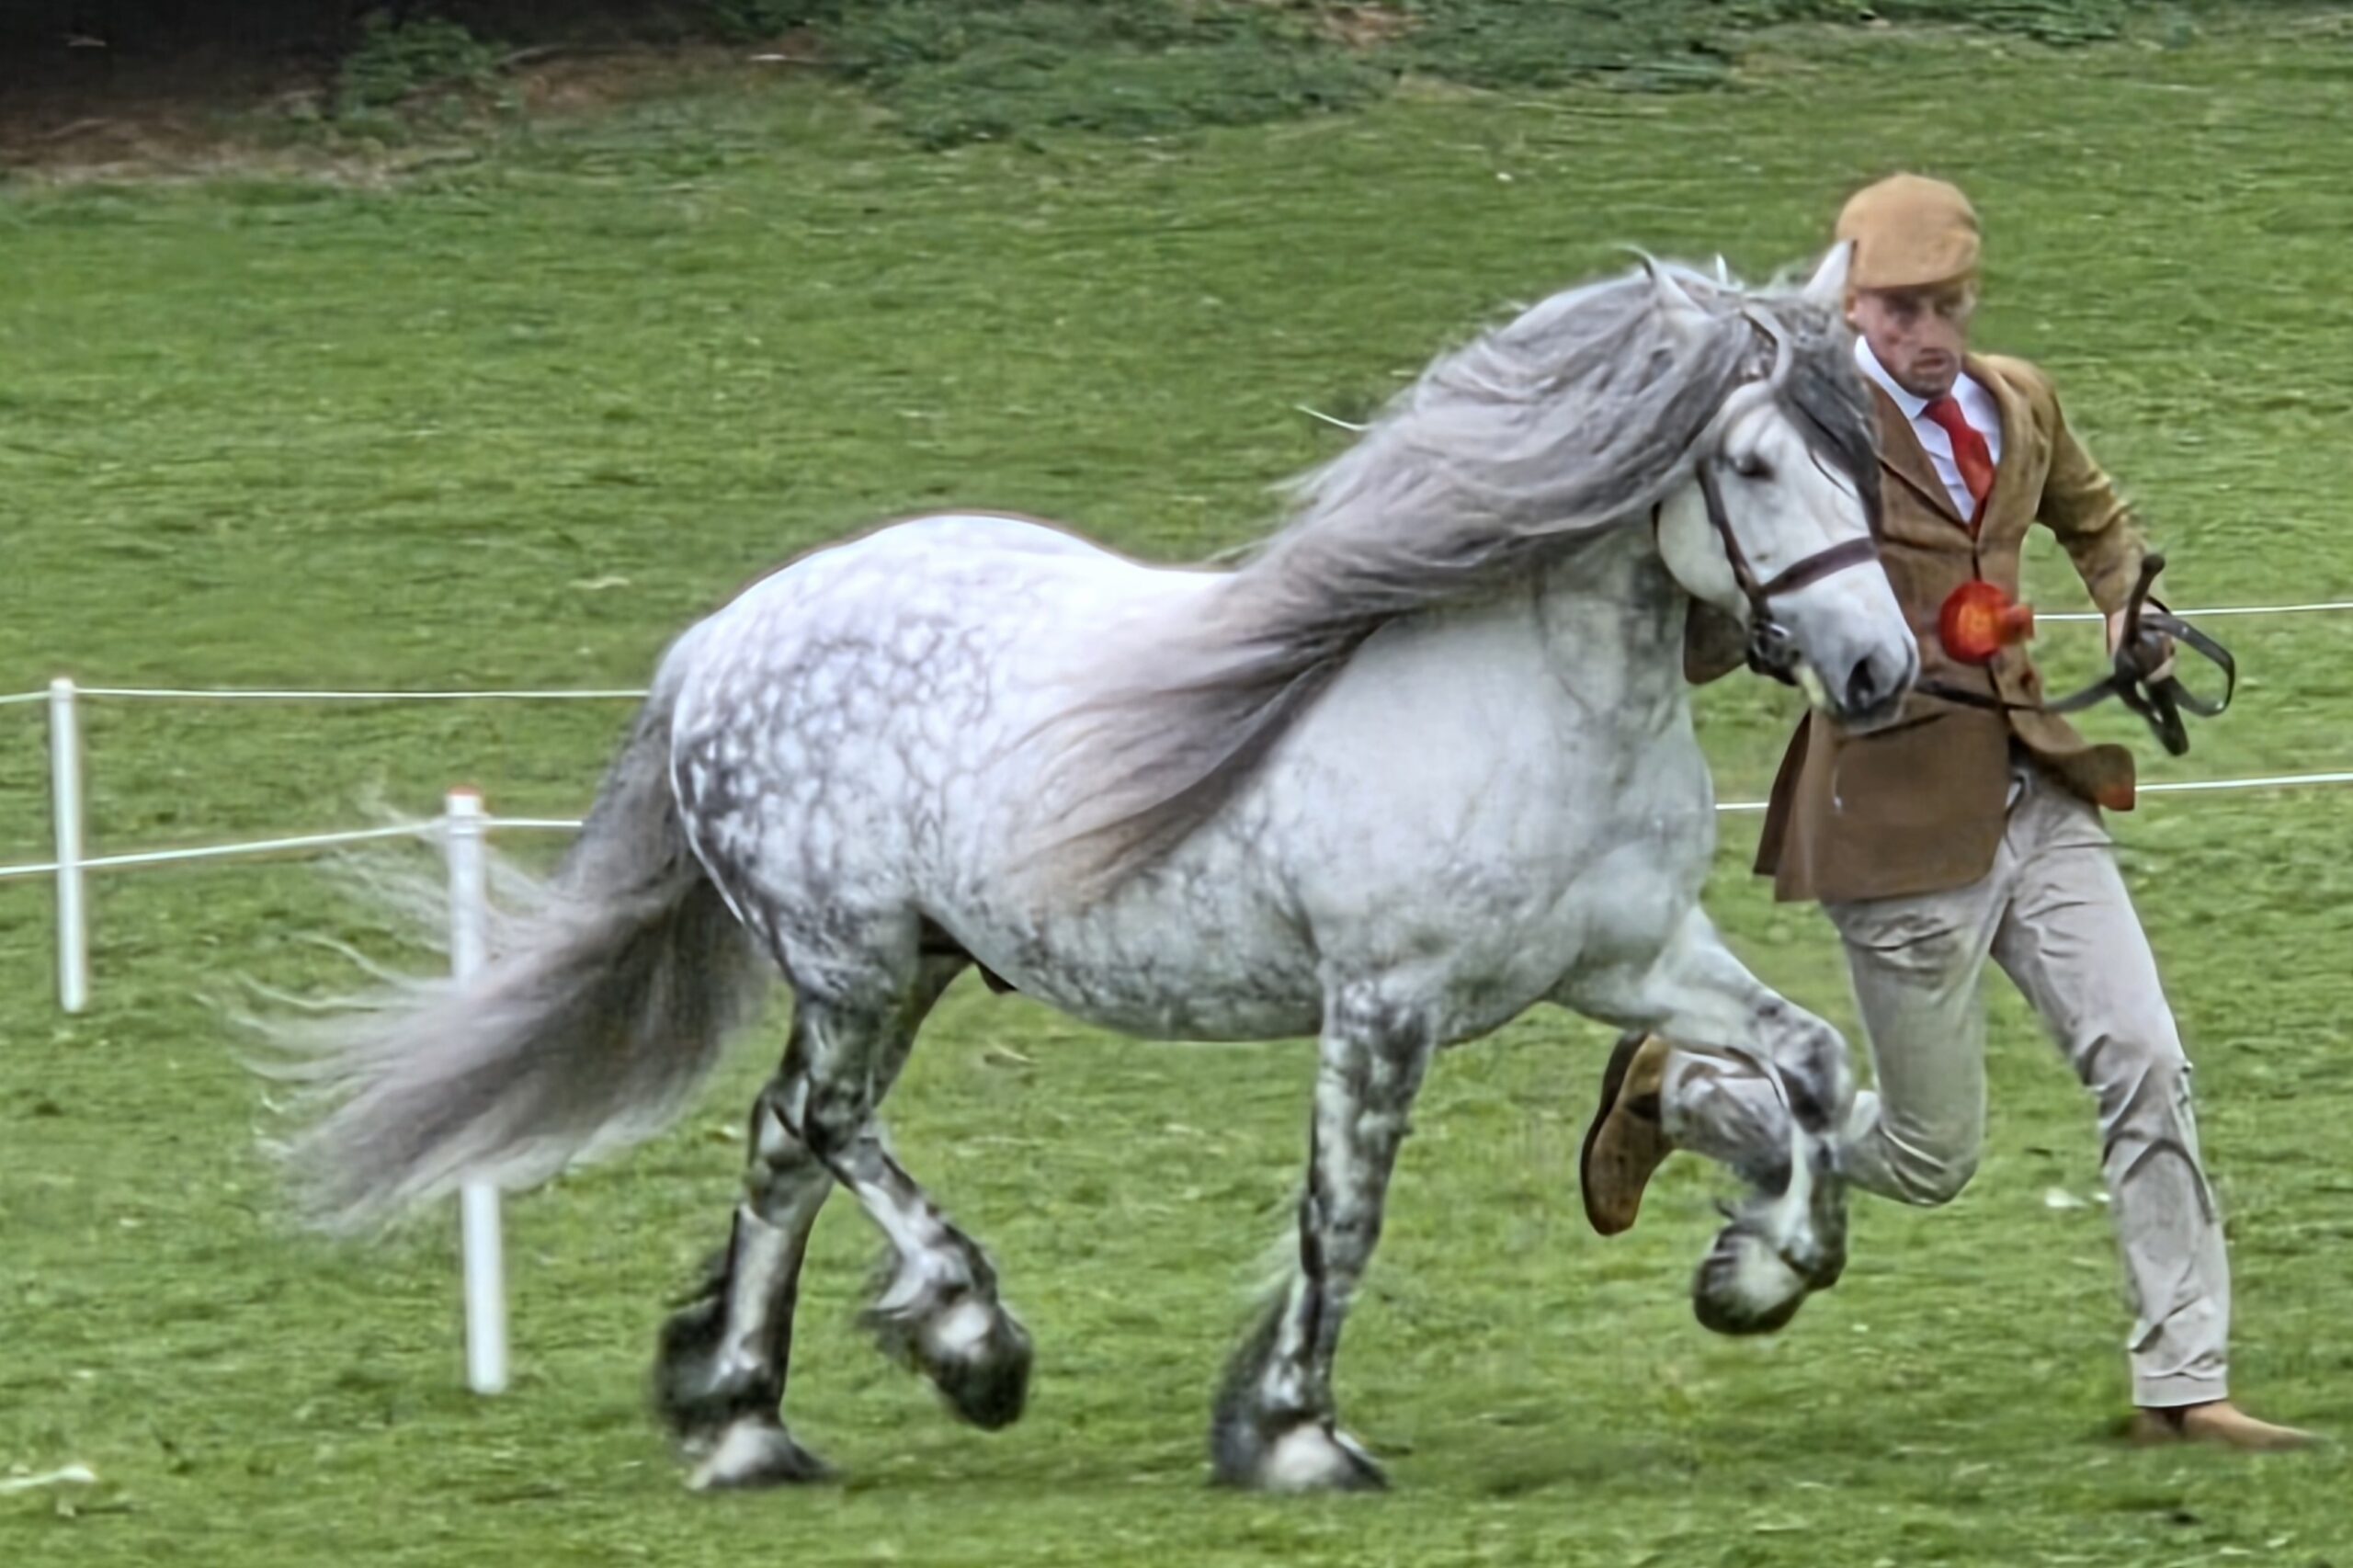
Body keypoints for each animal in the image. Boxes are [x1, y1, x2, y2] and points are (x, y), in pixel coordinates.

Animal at [268, 242, 1918, 1494]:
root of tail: (723, 638)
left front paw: (1758, 1273)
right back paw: (963, 1340)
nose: (1880, 668)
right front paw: (1292, 1434)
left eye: (1863, 454)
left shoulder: (1626, 960)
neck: (1530, 699)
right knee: (823, 1122)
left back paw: (743, 1420)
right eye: (1755, 462)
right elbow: (1343, 1211)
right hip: (855, 962)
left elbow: (1816, 1067)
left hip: (908, 970)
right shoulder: (1385, 1002)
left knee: (784, 1142)